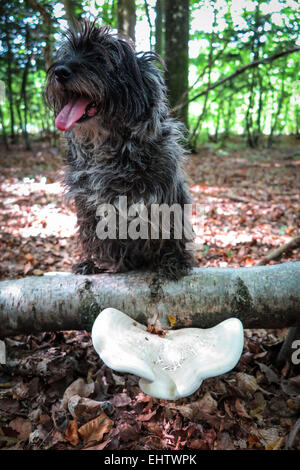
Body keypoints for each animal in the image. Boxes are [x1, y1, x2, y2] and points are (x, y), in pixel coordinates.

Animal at [44, 21, 195, 280]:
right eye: (67, 54)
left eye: (100, 57)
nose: (60, 71)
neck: (106, 145)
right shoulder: (87, 205)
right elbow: (94, 236)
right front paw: (93, 263)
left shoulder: (166, 196)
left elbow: (169, 231)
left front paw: (173, 261)